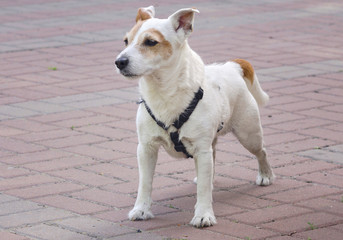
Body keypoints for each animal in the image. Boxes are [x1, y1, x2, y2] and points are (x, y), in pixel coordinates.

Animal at [115, 5, 274, 227]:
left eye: (150, 42)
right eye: (126, 41)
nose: (119, 61)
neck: (164, 94)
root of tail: (231, 67)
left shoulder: (201, 149)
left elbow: (204, 191)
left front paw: (203, 214)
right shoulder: (146, 149)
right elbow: (145, 184)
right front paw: (141, 209)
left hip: (248, 134)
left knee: (262, 152)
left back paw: (265, 175)